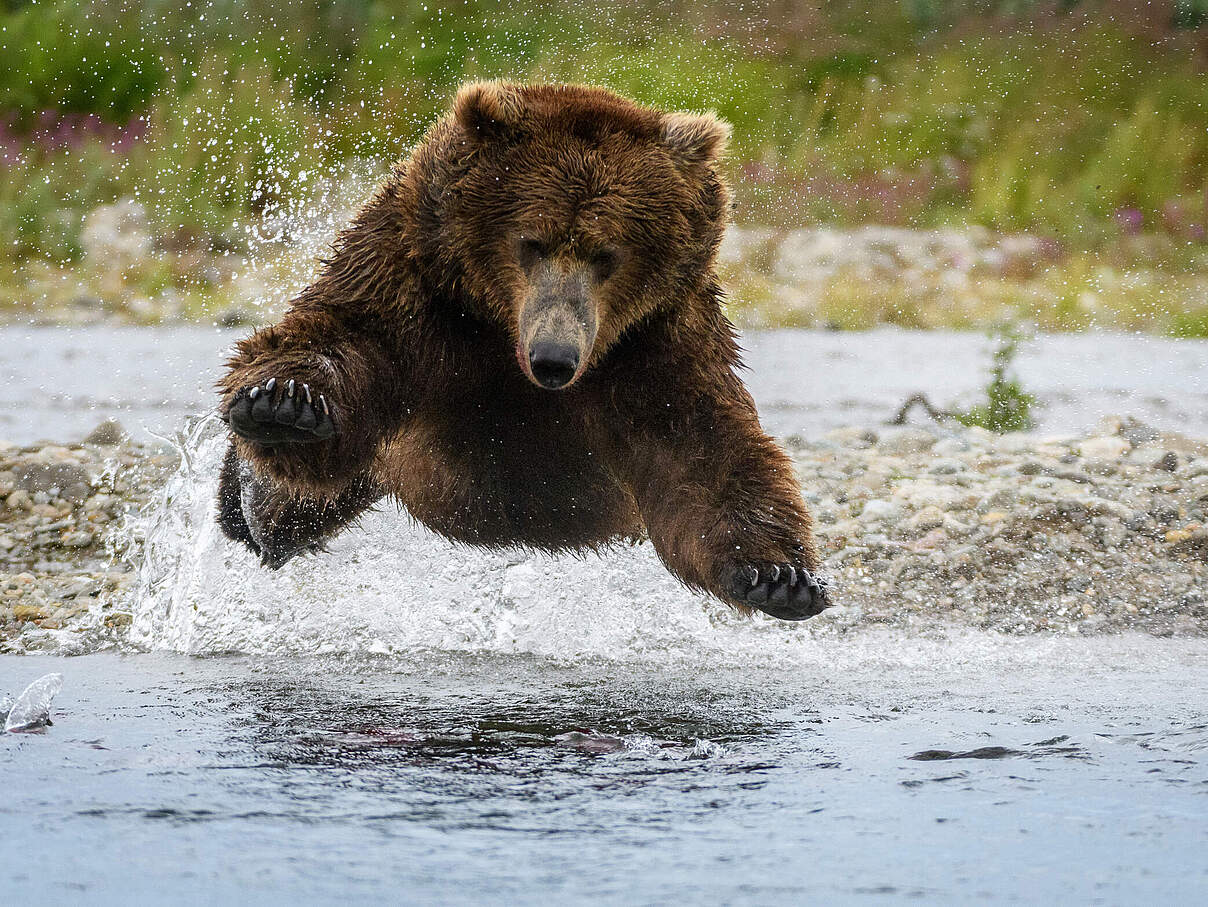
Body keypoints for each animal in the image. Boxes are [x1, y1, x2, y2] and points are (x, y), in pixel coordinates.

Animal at [217, 81, 831, 623]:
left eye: (607, 254)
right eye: (531, 241)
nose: (553, 358)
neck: (499, 329)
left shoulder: (655, 341)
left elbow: (703, 447)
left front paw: (780, 577)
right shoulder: (418, 285)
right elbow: (348, 337)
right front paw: (283, 402)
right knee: (294, 497)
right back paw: (253, 497)